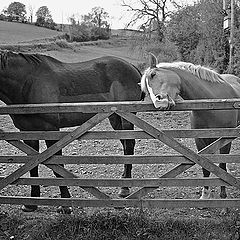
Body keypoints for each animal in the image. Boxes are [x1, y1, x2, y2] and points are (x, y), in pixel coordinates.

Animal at [0, 50, 142, 212]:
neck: (28, 82)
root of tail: (131, 66)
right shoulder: (27, 132)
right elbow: (33, 167)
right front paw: (31, 203)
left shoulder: (51, 130)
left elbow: (57, 167)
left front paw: (65, 203)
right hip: (115, 118)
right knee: (125, 145)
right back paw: (124, 179)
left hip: (127, 118)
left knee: (129, 146)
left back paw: (125, 188)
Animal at [140, 53, 240, 200]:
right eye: (146, 91)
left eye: (153, 74)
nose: (159, 102)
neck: (211, 105)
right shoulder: (200, 140)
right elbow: (205, 166)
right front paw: (205, 195)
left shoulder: (225, 139)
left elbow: (222, 164)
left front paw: (223, 194)